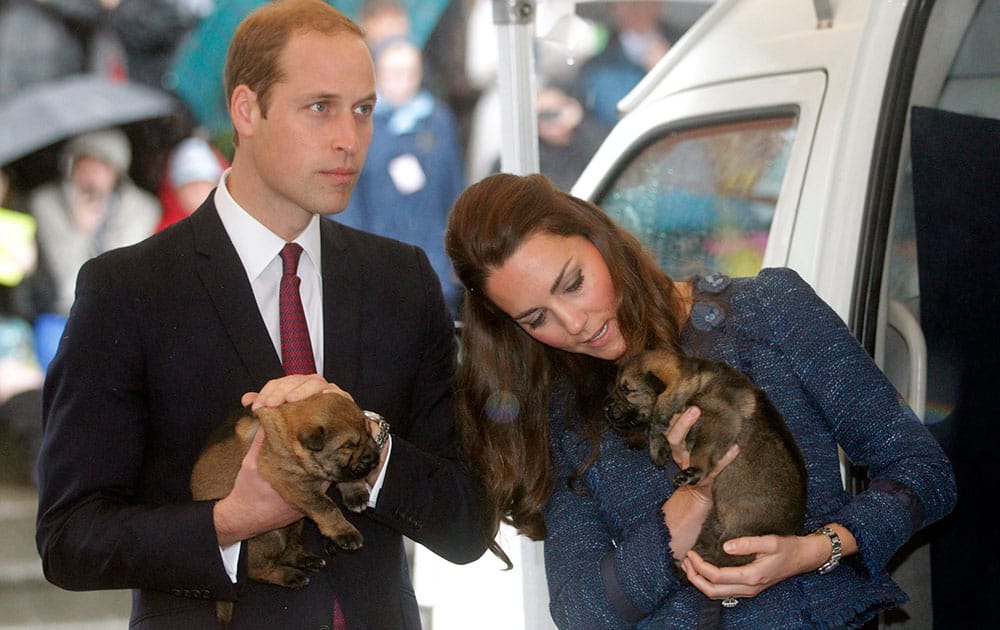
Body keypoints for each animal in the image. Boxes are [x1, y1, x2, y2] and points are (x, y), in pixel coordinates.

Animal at [189, 396, 380, 628]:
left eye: (369, 434)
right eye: (349, 445)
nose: (375, 459)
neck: (289, 435)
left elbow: (345, 477)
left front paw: (356, 493)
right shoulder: (294, 484)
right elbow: (327, 505)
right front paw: (345, 532)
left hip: (294, 526)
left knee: (290, 549)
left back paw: (305, 559)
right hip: (268, 536)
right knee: (257, 570)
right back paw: (290, 576)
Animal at [604, 350, 808, 568]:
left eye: (627, 389)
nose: (605, 408)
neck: (693, 382)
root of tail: (792, 530)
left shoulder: (718, 418)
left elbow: (700, 449)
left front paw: (692, 472)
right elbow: (656, 426)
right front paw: (658, 450)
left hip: (740, 532)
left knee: (731, 558)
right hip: (713, 522)